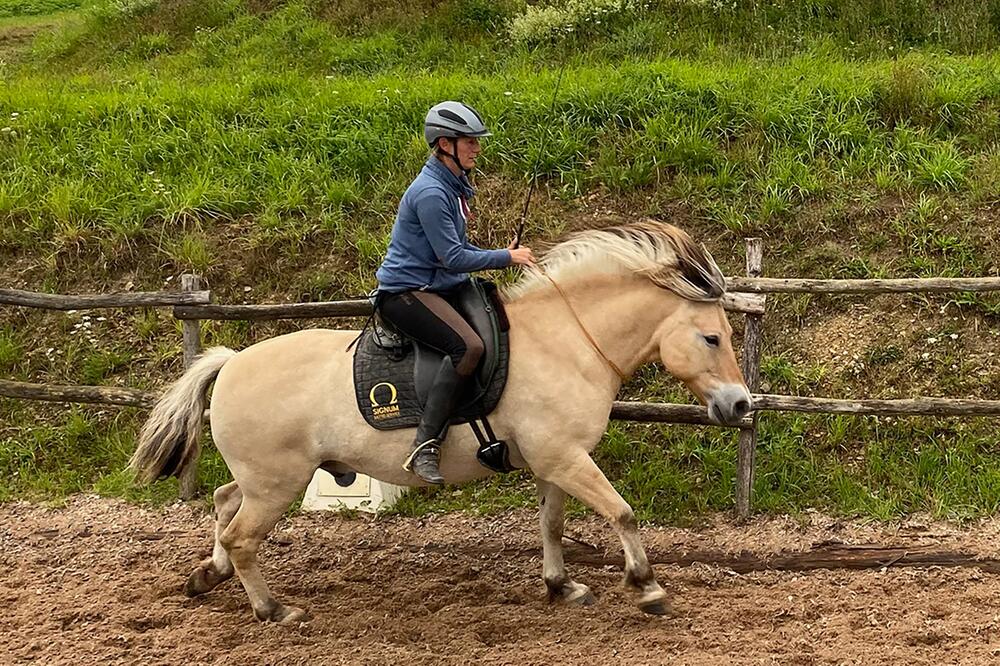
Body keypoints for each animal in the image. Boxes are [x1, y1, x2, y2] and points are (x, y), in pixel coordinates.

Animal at [127, 219, 752, 624]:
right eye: (712, 337)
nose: (741, 405)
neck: (568, 341)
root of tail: (231, 361)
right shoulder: (566, 457)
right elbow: (622, 512)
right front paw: (647, 588)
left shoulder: (553, 460)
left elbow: (552, 525)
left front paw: (561, 586)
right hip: (277, 483)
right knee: (242, 536)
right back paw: (272, 608)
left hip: (267, 479)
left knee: (224, 503)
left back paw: (209, 575)